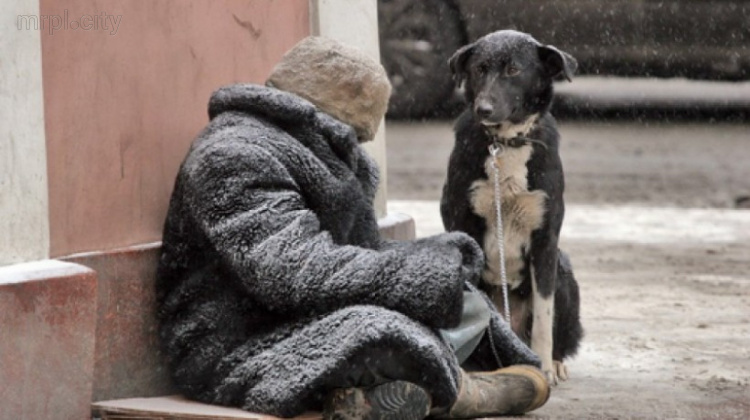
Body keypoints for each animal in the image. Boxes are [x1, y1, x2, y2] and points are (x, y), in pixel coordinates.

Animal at [440, 30, 588, 384]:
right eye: (480, 68)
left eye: (513, 70)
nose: (483, 108)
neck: (504, 143)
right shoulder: (463, 227)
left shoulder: (545, 240)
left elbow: (545, 317)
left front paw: (543, 367)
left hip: (563, 270)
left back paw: (554, 362)